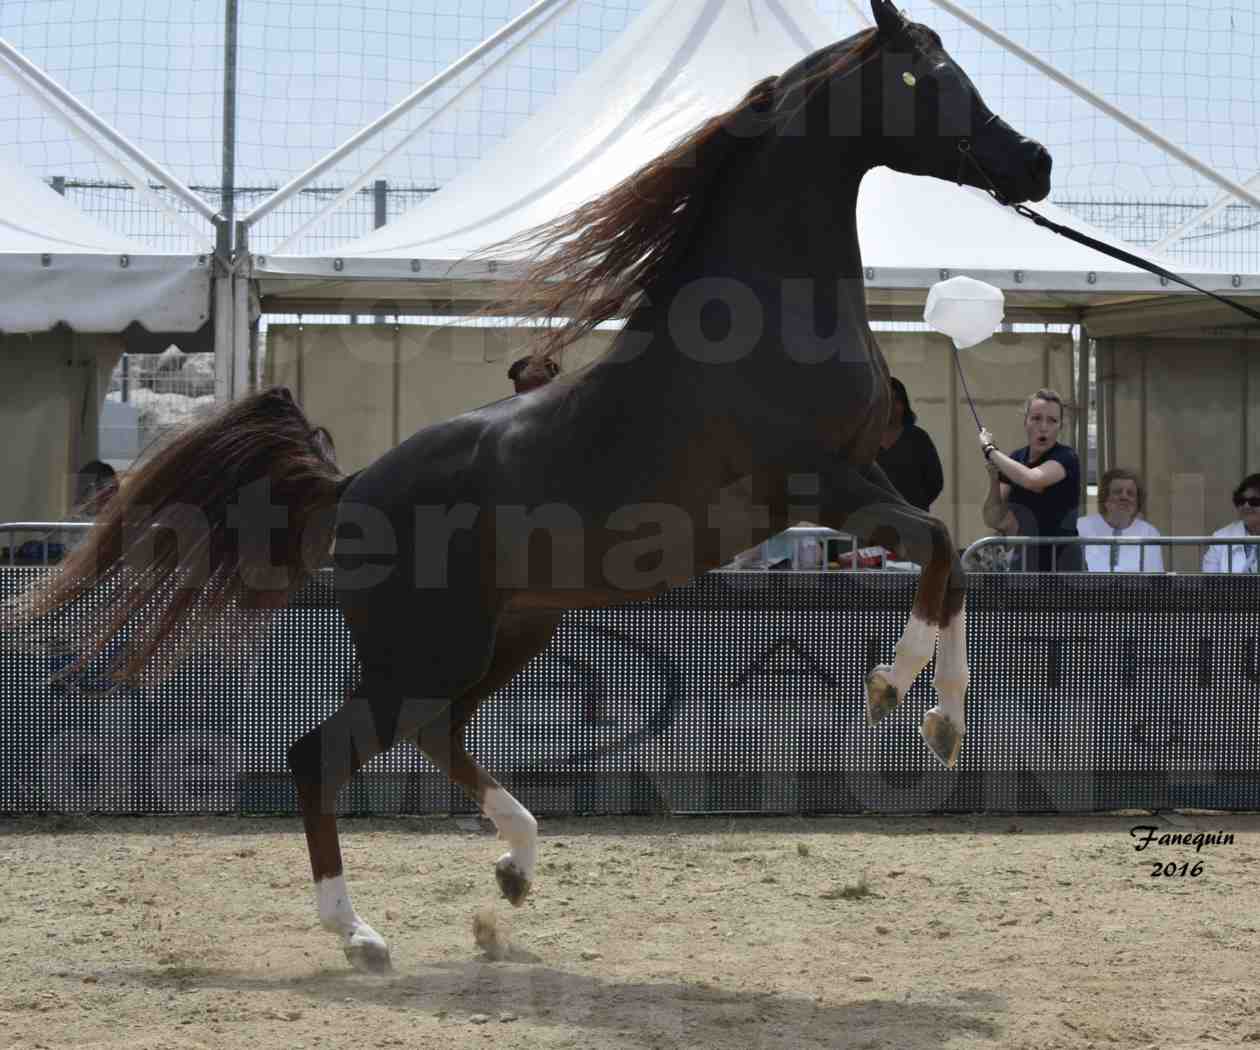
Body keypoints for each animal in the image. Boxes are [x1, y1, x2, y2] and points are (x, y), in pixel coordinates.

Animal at [14, 2, 1048, 973]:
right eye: (927, 75)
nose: (1033, 161)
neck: (763, 314)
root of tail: (352, 489)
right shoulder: (819, 484)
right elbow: (941, 550)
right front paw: (890, 690)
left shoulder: (865, 472)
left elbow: (954, 564)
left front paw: (946, 723)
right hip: (429, 650)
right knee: (321, 755)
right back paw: (363, 936)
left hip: (510, 635)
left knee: (432, 737)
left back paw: (512, 867)